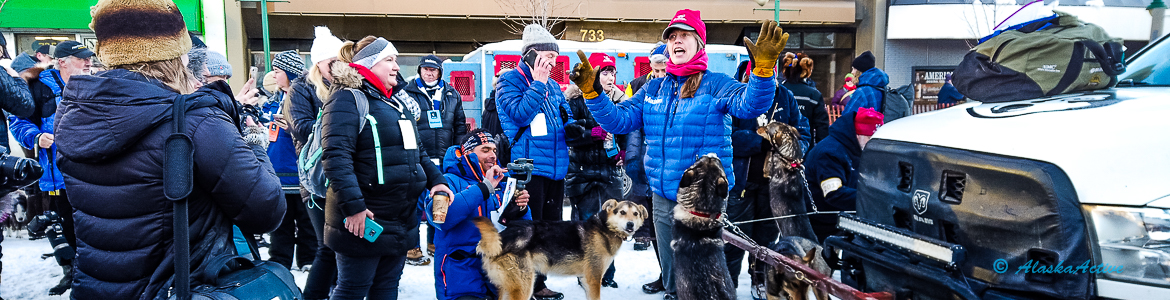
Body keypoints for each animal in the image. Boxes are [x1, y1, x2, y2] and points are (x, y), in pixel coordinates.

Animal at [470, 199, 645, 300]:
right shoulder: (594, 279)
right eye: (622, 212)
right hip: (524, 286)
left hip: (507, 287)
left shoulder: (585, 280)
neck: (604, 228)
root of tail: (502, 237)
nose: (630, 224)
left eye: (636, 214)